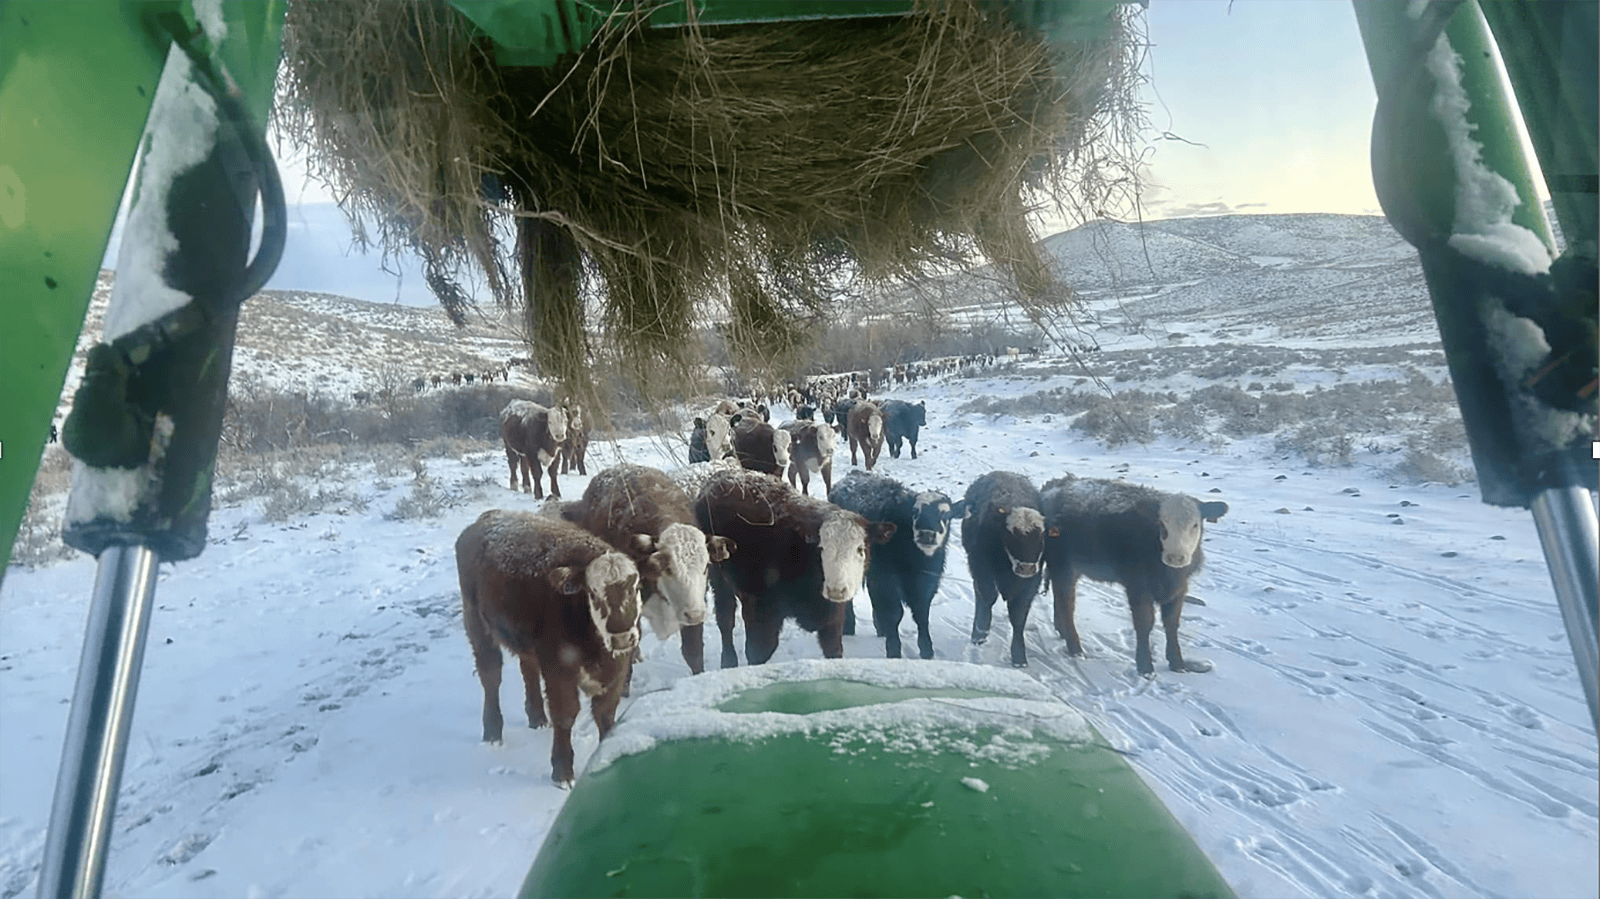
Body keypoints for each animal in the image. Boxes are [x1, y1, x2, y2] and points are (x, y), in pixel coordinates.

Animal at [454, 510, 640, 787]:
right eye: (593, 593)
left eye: (635, 587)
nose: (622, 637)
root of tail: (489, 516)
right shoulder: (558, 666)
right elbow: (565, 714)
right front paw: (562, 772)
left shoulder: (617, 668)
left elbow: (606, 712)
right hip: (476, 623)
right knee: (491, 676)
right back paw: (493, 732)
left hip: (526, 640)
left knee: (528, 669)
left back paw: (536, 717)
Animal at [693, 467, 894, 667]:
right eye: (821, 547)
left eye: (860, 549)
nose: (836, 590)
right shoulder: (762, 611)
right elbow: (758, 653)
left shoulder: (832, 618)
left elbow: (834, 650)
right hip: (718, 575)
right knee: (725, 618)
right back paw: (728, 660)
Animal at [829, 471, 961, 659]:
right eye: (915, 512)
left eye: (946, 515)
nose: (927, 534)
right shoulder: (886, 578)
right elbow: (893, 613)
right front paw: (894, 650)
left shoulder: (926, 582)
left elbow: (921, 613)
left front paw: (927, 650)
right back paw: (849, 626)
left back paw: (880, 629)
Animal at [962, 471, 1052, 668]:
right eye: (1012, 535)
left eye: (1041, 536)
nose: (1026, 568)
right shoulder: (980, 566)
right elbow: (987, 598)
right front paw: (981, 631)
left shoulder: (1030, 583)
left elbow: (1018, 616)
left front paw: (1019, 656)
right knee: (980, 596)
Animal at [1040, 474, 1229, 676]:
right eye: (1162, 524)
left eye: (1195, 525)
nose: (1176, 557)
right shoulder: (1138, 586)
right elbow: (1144, 623)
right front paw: (1145, 666)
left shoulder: (1179, 588)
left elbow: (1172, 624)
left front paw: (1177, 663)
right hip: (1063, 565)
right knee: (1067, 603)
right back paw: (1075, 648)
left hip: (1071, 568)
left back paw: (1061, 630)